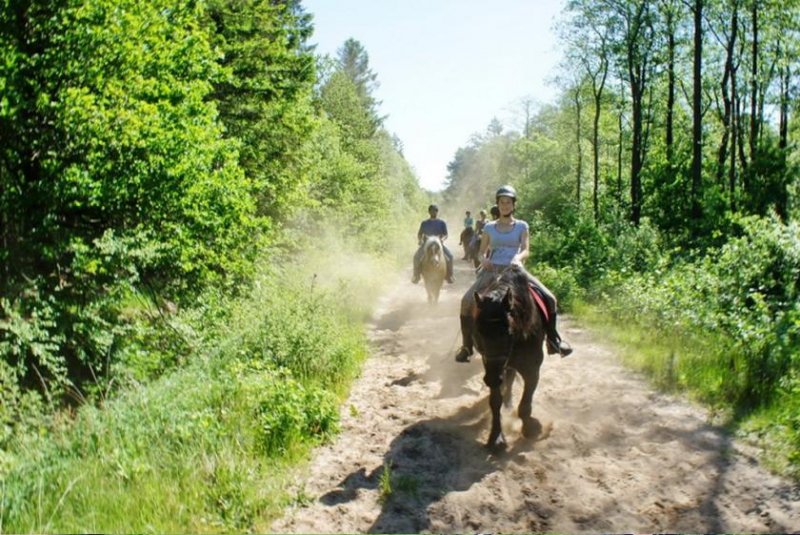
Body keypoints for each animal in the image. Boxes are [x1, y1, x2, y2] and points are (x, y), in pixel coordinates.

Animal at [472, 266, 548, 450]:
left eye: (508, 332)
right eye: (478, 332)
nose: (492, 379)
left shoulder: (532, 369)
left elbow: (525, 404)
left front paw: (530, 428)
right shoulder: (491, 366)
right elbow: (495, 401)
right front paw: (496, 437)